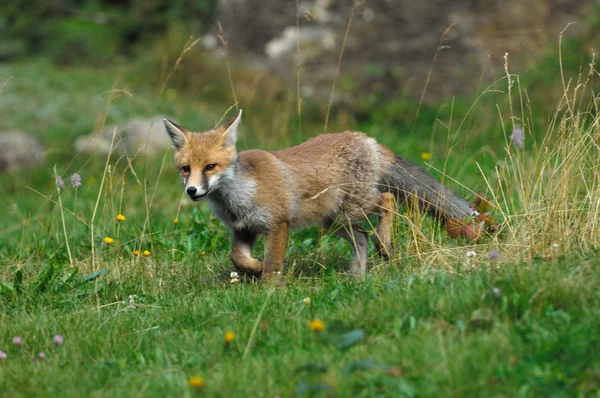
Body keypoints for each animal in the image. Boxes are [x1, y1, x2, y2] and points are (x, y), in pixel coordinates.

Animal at [164, 109, 474, 280]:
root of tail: (365, 138)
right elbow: (237, 258)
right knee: (361, 238)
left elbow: (272, 262)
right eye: (185, 169)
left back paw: (384, 245)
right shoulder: (244, 230)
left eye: (210, 167)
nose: (192, 191)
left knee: (387, 202)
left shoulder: (278, 223)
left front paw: (269, 287)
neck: (239, 196)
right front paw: (255, 269)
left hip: (354, 208)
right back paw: (356, 278)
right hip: (334, 221)